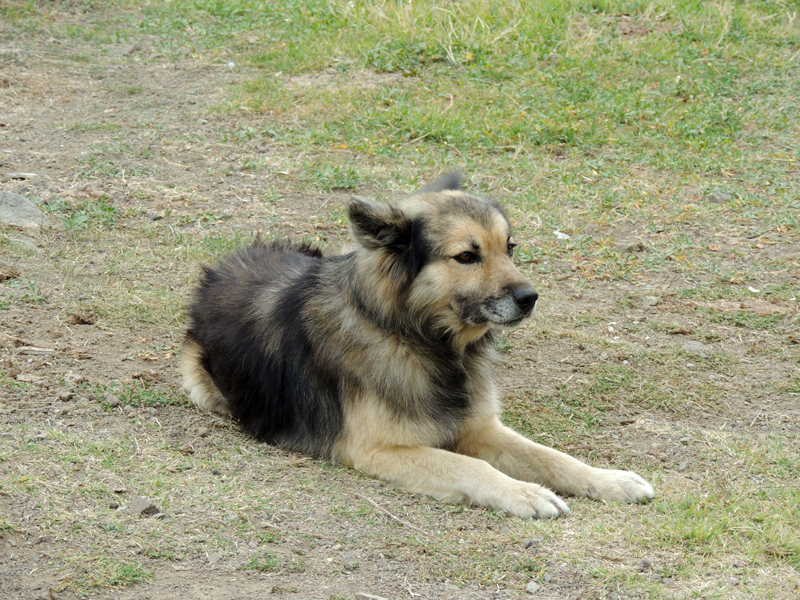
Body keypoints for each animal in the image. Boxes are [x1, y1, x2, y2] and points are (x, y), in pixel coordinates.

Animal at [183, 171, 656, 516]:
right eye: (467, 256)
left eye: (510, 248)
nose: (530, 298)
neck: (418, 338)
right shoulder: (378, 449)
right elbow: (472, 466)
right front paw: (525, 493)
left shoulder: (479, 427)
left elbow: (552, 457)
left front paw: (609, 479)